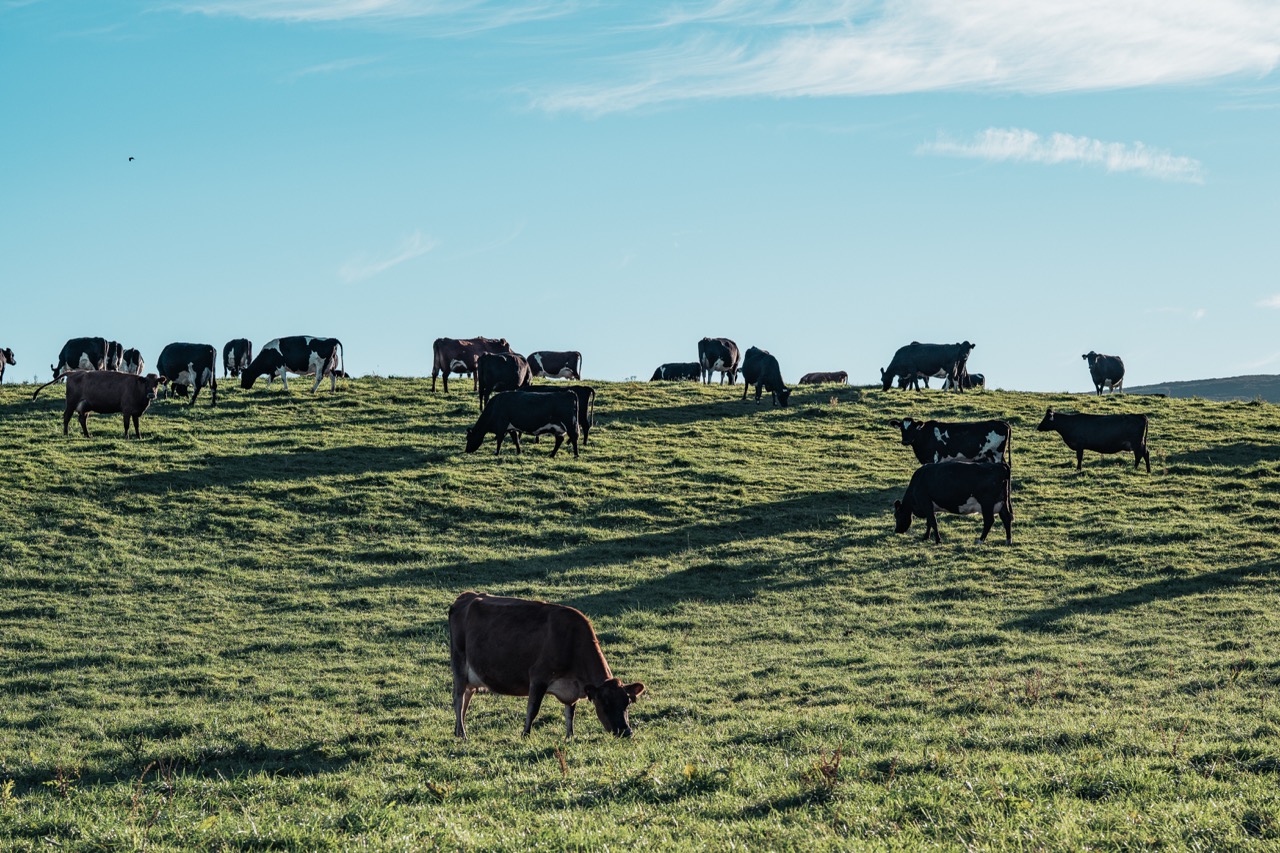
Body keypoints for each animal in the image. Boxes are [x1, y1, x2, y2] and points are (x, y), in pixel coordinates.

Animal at [32, 370, 164, 438]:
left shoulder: (136, 412)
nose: (151, 394)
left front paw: (139, 437)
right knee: (67, 417)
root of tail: (73, 372)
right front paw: (126, 437)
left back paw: (87, 435)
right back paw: (66, 434)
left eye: (156, 383)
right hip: (71, 402)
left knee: (82, 419)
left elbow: (137, 426)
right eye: (146, 383)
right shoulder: (126, 410)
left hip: (85, 406)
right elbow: (127, 425)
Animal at [449, 591, 645, 739]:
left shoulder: (572, 688)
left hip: (471, 676)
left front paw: (570, 737)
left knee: (467, 697)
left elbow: (570, 713)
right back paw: (463, 734)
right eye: (604, 703)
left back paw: (458, 731)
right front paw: (525, 735)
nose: (626, 732)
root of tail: (466, 596)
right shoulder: (538, 677)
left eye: (627, 702)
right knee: (458, 698)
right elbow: (533, 709)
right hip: (459, 663)